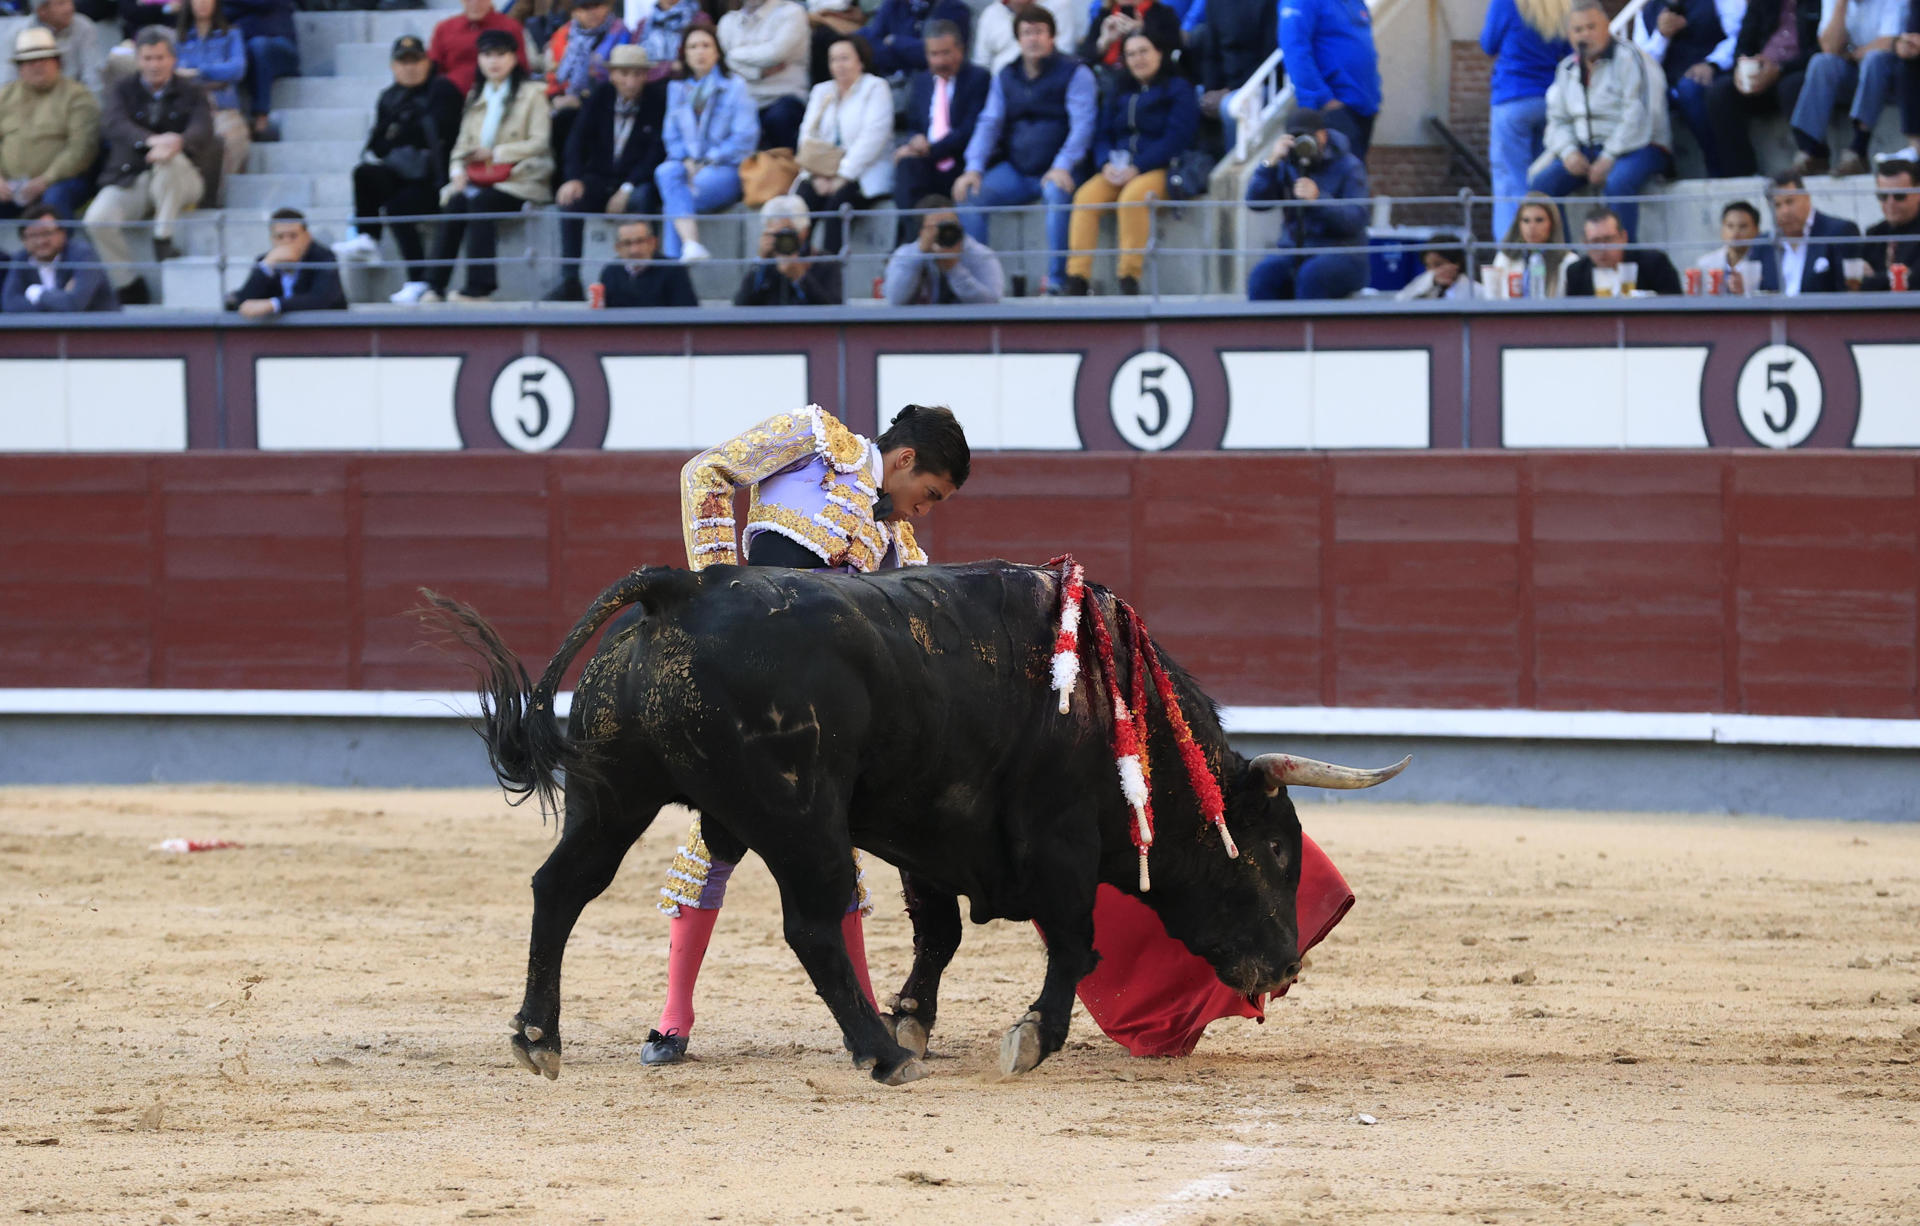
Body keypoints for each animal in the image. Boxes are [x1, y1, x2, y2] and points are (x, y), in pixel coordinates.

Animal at [428, 560, 1405, 1089]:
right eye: (1274, 848)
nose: (1286, 966)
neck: (1113, 709)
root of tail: (685, 588)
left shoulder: (932, 831)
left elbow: (939, 935)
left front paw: (912, 1019)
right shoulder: (1056, 843)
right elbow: (1076, 943)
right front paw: (1023, 1040)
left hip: (615, 794)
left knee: (561, 887)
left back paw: (538, 1038)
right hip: (798, 815)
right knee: (811, 924)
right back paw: (875, 1057)